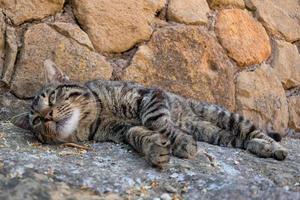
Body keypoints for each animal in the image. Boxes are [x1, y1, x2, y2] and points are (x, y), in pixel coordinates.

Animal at [12, 59, 288, 167]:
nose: (47, 116)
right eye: (37, 121)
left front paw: (181, 141)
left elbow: (155, 121)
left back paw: (273, 147)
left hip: (223, 115)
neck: (98, 115)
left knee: (254, 131)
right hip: (216, 134)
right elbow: (139, 134)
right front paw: (156, 149)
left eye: (52, 97)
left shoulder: (149, 95)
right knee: (240, 140)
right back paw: (260, 148)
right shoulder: (122, 131)